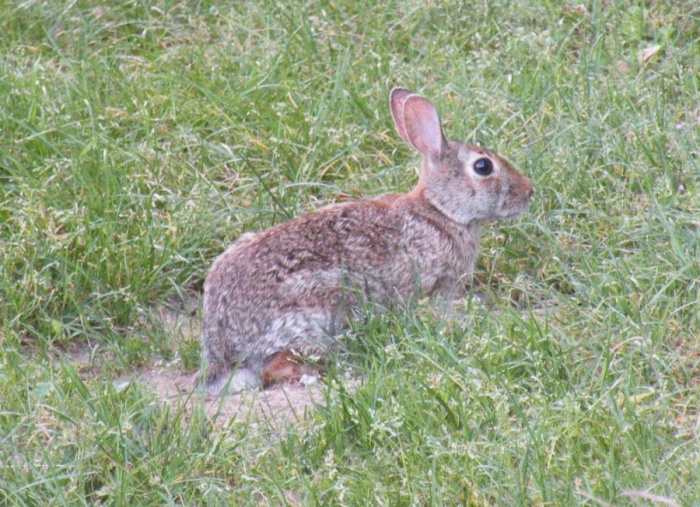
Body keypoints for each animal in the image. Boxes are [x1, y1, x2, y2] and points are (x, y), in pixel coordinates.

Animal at [200, 88, 532, 396]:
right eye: (483, 167)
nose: (529, 191)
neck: (439, 210)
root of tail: (227, 352)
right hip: (323, 307)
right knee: (276, 368)